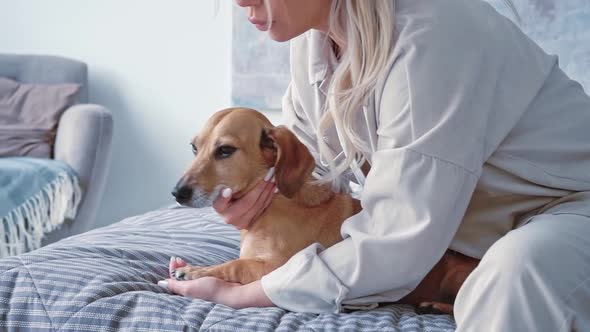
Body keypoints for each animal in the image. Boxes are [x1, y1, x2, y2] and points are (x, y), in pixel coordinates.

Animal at [172, 108, 480, 314]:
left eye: (225, 150)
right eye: (194, 147)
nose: (177, 193)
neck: (276, 203)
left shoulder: (276, 267)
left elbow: (234, 266)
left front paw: (194, 272)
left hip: (456, 276)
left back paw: (435, 306)